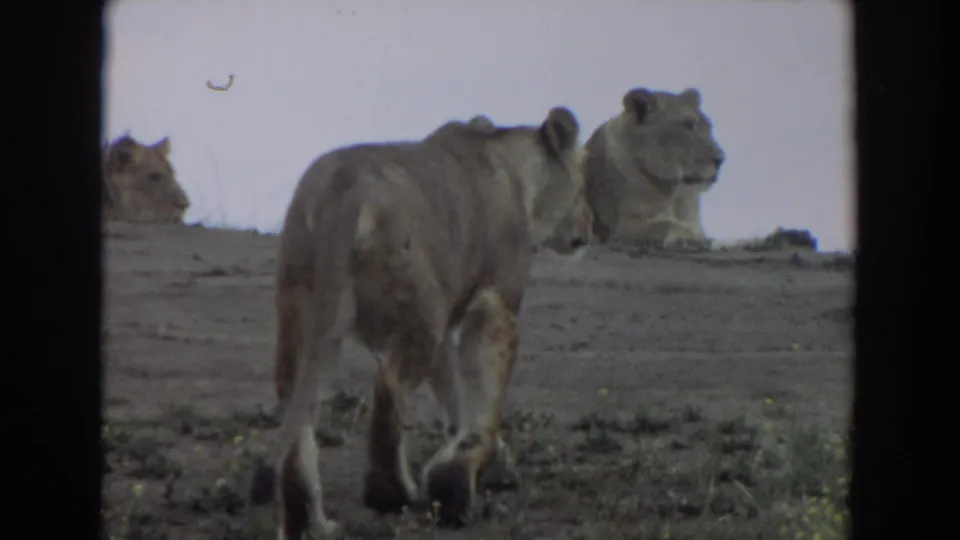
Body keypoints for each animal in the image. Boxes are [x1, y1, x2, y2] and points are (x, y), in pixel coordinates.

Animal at [247, 106, 591, 539]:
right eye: (582, 181)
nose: (588, 228)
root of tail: (342, 192)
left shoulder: (446, 325)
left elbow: (455, 397)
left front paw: (491, 466)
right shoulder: (495, 301)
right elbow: (484, 397)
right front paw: (461, 483)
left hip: (301, 310)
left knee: (299, 414)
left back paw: (312, 525)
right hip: (419, 312)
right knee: (387, 392)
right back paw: (392, 493)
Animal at [583, 87, 725, 248]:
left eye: (709, 127)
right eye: (687, 124)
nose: (721, 159)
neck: (675, 197)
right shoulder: (623, 225)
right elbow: (666, 225)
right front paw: (688, 236)